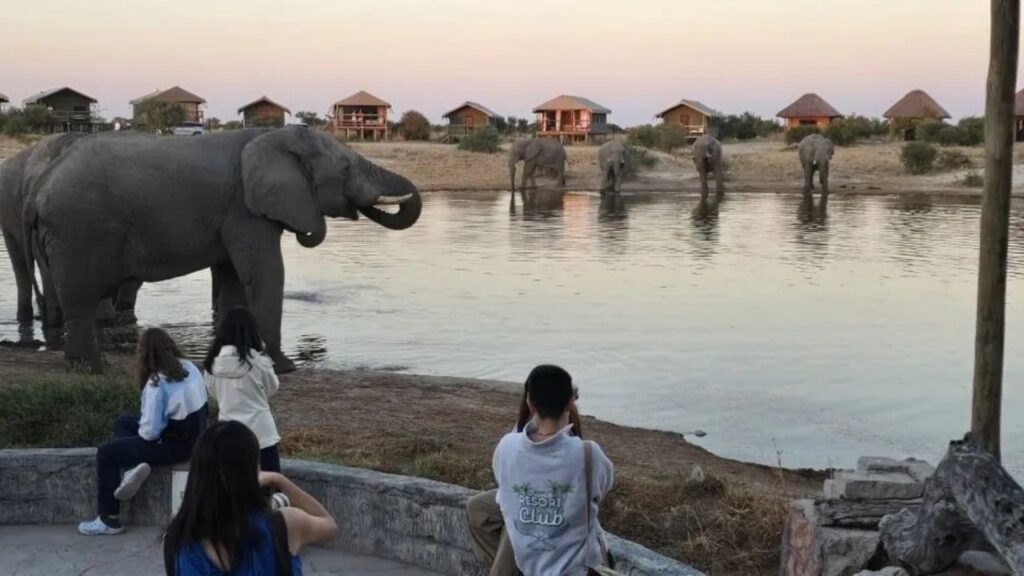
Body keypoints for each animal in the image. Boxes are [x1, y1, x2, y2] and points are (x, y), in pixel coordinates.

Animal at [24, 126, 421, 373]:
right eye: (345, 168)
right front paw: (284, 367)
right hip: (77, 228)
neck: (272, 136)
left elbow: (233, 280)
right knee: (79, 298)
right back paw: (92, 368)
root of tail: (41, 180)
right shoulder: (245, 208)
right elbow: (264, 273)